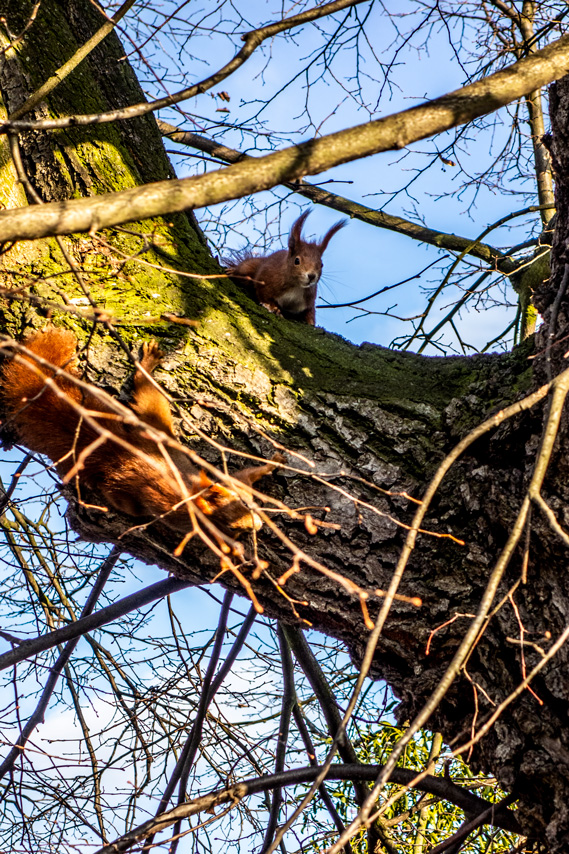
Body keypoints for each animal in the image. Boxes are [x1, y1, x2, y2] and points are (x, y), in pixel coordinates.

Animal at [1, 332, 282, 540]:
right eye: (236, 522)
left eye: (246, 507)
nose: (257, 526)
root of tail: (123, 454)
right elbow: (242, 477)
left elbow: (246, 476)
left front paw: (273, 462)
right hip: (153, 437)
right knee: (150, 398)